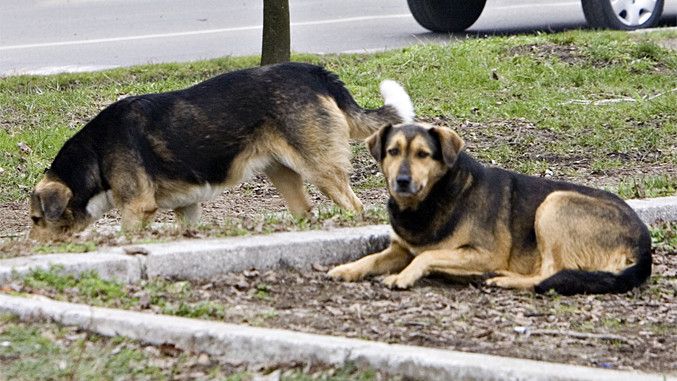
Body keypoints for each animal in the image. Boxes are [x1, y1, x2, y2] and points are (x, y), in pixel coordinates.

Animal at [29, 62, 414, 240]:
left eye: (35, 219)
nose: (32, 245)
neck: (95, 152)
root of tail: (315, 72)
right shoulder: (186, 207)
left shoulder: (137, 209)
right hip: (283, 175)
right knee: (306, 210)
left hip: (322, 171)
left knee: (355, 206)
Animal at [328, 122, 648, 294]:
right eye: (392, 152)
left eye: (423, 154)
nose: (402, 181)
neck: (428, 201)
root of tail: (644, 245)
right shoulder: (400, 249)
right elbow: (372, 258)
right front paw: (347, 269)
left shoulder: (484, 253)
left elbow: (427, 255)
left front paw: (403, 276)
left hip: (555, 203)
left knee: (550, 272)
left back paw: (505, 279)